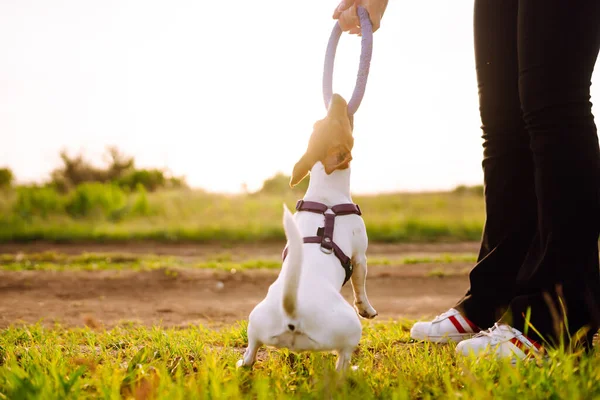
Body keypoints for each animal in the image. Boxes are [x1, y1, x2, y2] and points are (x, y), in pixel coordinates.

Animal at [238, 94, 376, 372]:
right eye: (339, 122)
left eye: (319, 123)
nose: (337, 97)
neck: (326, 196)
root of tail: (294, 314)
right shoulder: (360, 257)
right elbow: (361, 288)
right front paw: (366, 308)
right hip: (351, 331)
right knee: (342, 362)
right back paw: (353, 370)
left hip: (255, 323)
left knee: (250, 352)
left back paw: (243, 362)